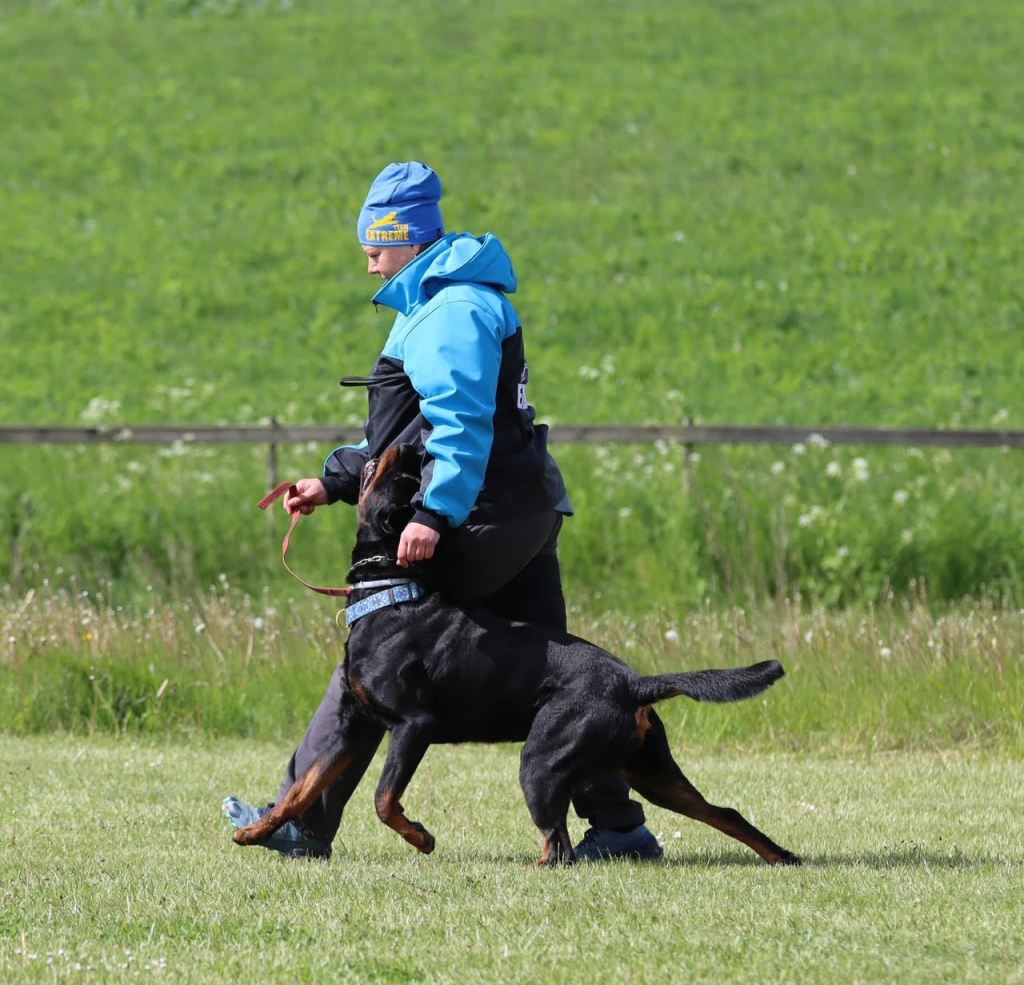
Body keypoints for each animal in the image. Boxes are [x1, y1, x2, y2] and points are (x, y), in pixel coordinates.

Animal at [234, 443, 800, 866]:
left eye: (400, 476)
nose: (412, 447)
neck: (391, 592)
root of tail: (635, 682)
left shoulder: (413, 724)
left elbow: (383, 799)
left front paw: (422, 838)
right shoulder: (355, 724)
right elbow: (304, 786)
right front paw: (256, 831)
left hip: (542, 760)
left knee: (559, 845)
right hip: (649, 769)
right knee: (722, 811)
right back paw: (782, 857)